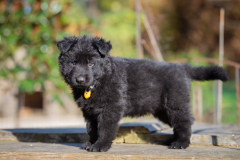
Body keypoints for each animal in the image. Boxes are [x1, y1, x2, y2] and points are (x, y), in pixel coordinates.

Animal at [56, 35, 229, 152]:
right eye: (74, 62)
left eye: (91, 63)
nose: (80, 79)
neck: (96, 83)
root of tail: (183, 68)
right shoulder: (89, 112)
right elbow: (92, 129)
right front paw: (91, 143)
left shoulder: (110, 109)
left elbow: (104, 129)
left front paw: (100, 145)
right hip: (163, 110)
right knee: (176, 124)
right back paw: (172, 140)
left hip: (175, 104)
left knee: (185, 122)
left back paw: (181, 143)